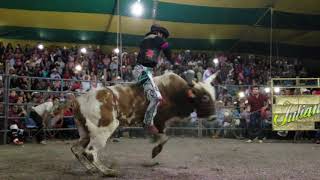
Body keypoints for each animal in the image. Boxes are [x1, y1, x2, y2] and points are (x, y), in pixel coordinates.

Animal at [66, 71, 219, 176]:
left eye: (213, 95)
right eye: (205, 97)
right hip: (103, 129)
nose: (214, 117)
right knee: (90, 152)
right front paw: (155, 151)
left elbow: (162, 136)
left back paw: (91, 169)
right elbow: (164, 137)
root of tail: (79, 100)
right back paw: (108, 171)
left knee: (76, 149)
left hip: (85, 132)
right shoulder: (158, 120)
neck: (175, 93)